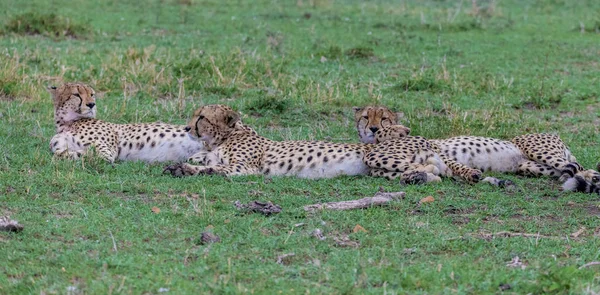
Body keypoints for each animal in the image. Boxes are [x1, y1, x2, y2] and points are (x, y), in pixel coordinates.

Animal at [48, 82, 206, 163]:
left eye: (91, 94)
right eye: (76, 94)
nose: (92, 104)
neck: (67, 123)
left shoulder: (108, 152)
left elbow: (87, 153)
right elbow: (61, 151)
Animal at [163, 105, 468, 184]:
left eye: (201, 117)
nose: (187, 128)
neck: (224, 137)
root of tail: (424, 138)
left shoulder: (247, 168)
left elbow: (216, 169)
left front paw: (187, 169)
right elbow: (202, 160)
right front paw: (183, 166)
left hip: (376, 157)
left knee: (433, 172)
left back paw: (418, 177)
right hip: (381, 168)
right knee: (433, 170)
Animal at [352, 105, 600, 186]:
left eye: (384, 118)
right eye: (366, 117)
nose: (372, 129)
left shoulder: (437, 150)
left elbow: (457, 165)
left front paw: (472, 174)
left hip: (539, 150)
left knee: (581, 167)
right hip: (531, 166)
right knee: (574, 169)